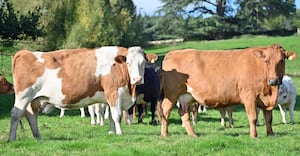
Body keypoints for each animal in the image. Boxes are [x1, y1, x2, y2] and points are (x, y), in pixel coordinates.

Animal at [8, 45, 156, 141]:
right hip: (23, 96)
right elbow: (117, 115)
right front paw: (120, 133)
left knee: (32, 115)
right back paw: (12, 138)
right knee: (16, 114)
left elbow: (110, 117)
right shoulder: (114, 92)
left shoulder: (110, 97)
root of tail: (26, 53)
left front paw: (111, 132)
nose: (138, 79)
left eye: (143, 63)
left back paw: (38, 137)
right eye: (129, 63)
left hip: (33, 99)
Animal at [158, 44, 296, 138]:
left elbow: (268, 118)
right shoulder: (248, 96)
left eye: (281, 60)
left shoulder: (266, 100)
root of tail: (172, 53)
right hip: (171, 94)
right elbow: (253, 117)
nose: (273, 81)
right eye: (266, 61)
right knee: (165, 111)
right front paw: (253, 136)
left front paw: (271, 134)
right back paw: (165, 134)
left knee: (183, 113)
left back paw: (193, 134)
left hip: (186, 96)